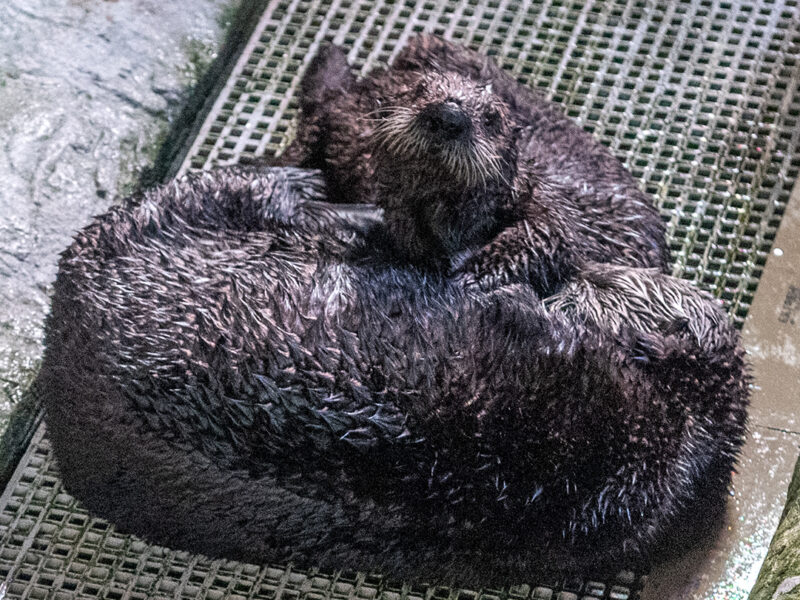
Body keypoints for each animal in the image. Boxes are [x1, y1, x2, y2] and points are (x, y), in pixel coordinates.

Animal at [40, 166, 749, 585]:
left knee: (234, 195)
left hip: (172, 226)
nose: (584, 272)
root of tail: (60, 333)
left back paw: (336, 204)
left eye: (602, 285)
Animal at [275, 35, 669, 293]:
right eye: (420, 91)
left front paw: (472, 274)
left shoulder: (547, 204)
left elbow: (547, 237)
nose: (448, 115)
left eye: (492, 118)